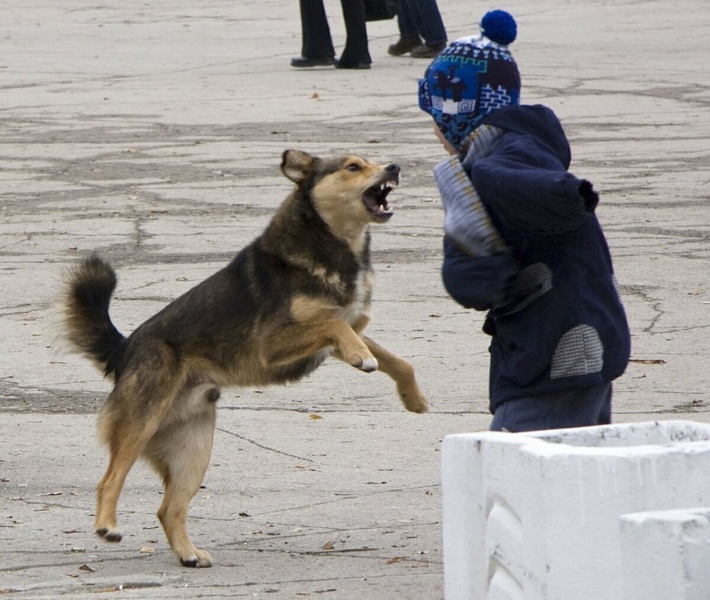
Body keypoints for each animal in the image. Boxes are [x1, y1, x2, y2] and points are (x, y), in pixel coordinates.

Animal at [61, 149, 428, 568]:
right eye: (353, 166)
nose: (394, 167)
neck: (332, 242)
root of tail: (125, 349)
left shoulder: (345, 330)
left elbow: (396, 359)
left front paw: (413, 397)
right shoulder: (275, 342)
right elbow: (336, 326)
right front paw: (363, 359)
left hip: (193, 449)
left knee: (168, 508)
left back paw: (188, 554)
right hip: (141, 422)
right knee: (110, 479)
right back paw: (107, 525)